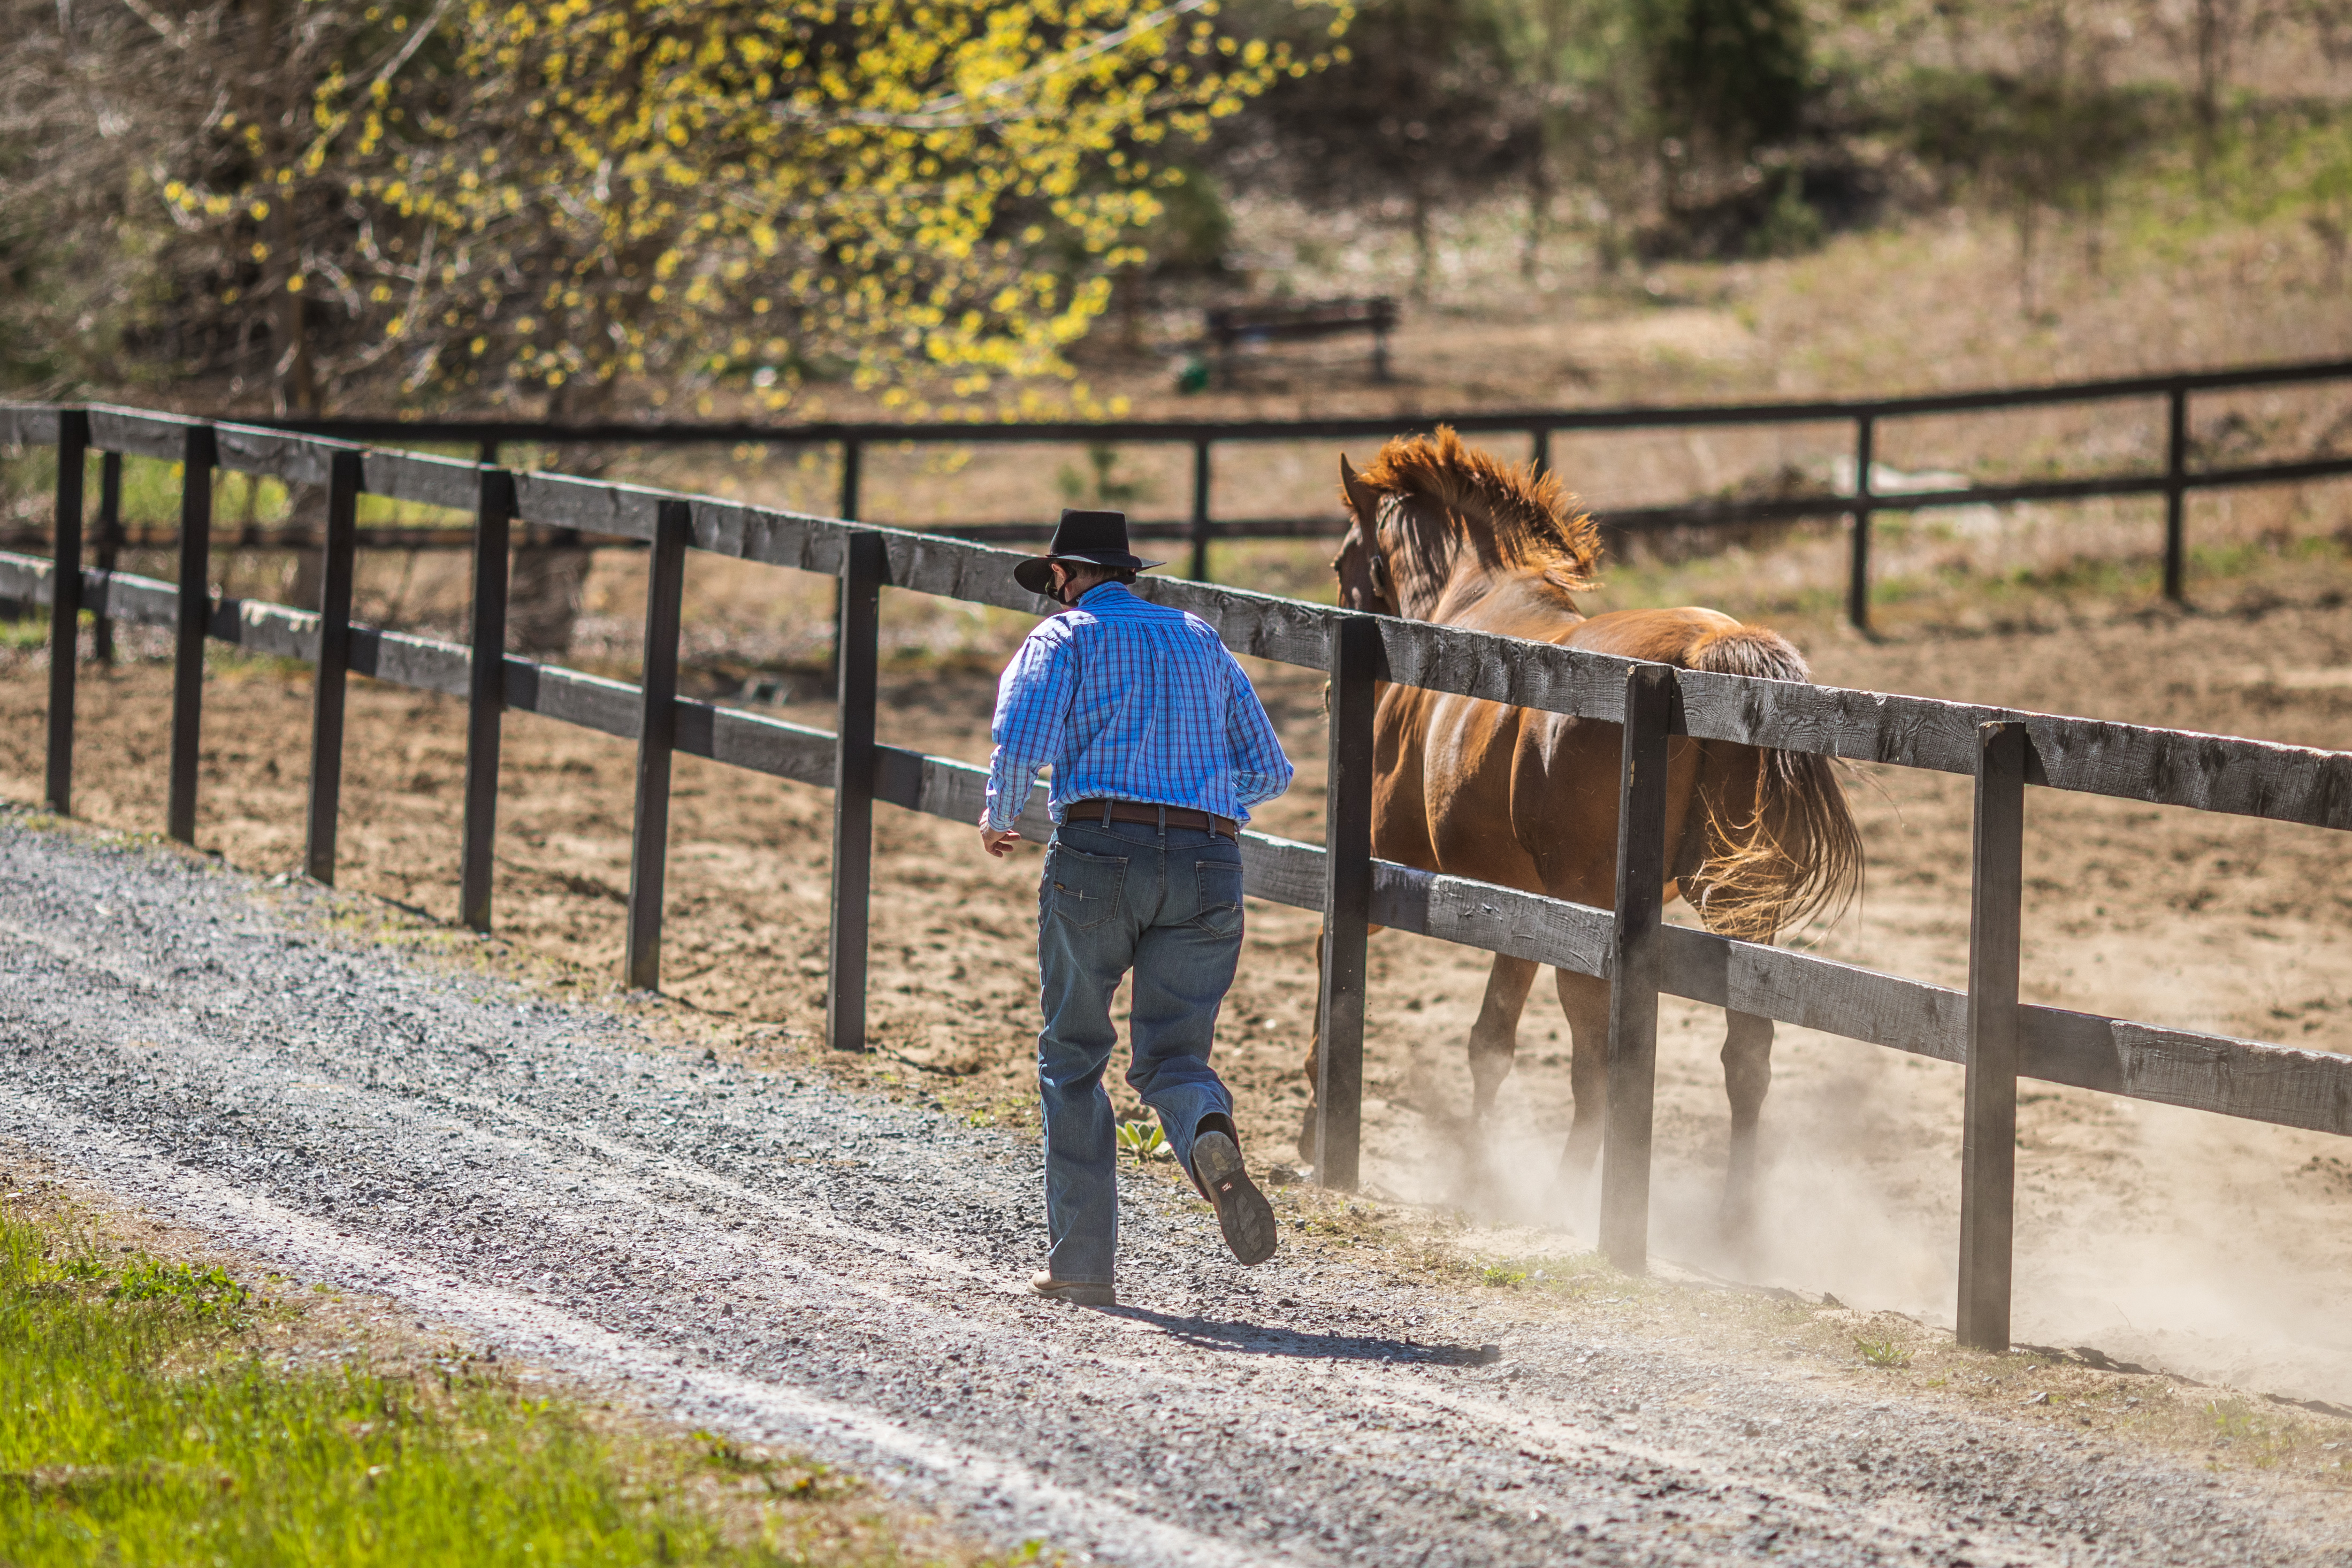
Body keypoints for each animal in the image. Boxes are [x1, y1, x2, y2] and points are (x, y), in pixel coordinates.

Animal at [1298, 432, 1862, 1222]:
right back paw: (1734, 1219)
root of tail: (1708, 650)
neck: (1459, 605)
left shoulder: (1385, 869)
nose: (1326, 694)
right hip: (1739, 910)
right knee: (1747, 1056)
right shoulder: (1517, 910)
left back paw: (1571, 1197)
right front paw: (1475, 1169)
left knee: (1599, 1065)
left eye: (1340, 564)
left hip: (1597, 920)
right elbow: (1490, 1040)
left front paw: (1314, 1120)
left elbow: (1335, 964)